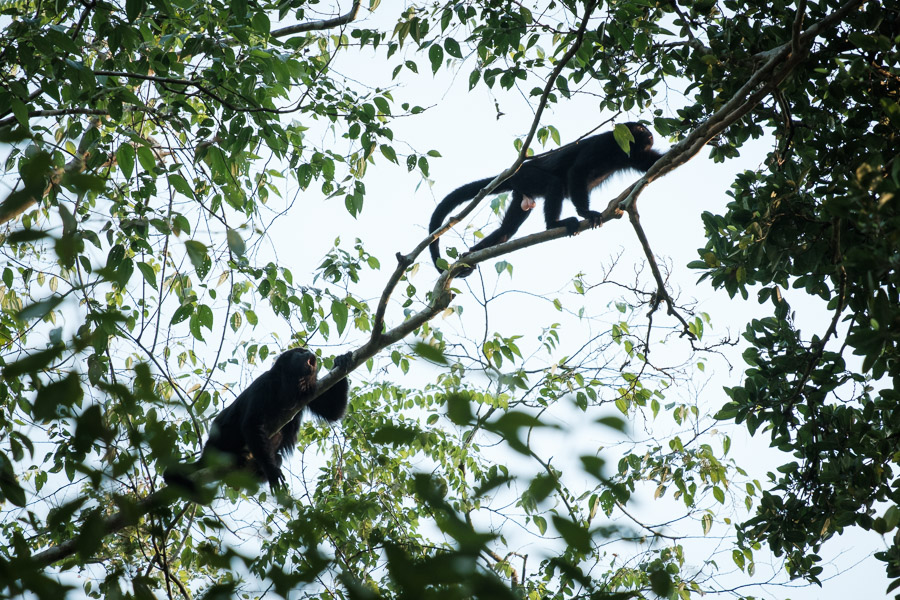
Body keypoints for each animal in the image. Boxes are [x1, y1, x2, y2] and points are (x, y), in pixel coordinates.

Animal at [164, 348, 351, 490]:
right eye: (300, 352)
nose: (309, 352)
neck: (290, 384)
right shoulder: (264, 385)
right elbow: (251, 424)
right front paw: (272, 471)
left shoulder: (310, 390)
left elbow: (333, 412)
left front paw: (341, 360)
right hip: (219, 442)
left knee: (278, 457)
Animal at [428, 122, 664, 277]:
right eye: (642, 129)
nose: (651, 134)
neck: (618, 148)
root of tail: (517, 171)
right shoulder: (601, 145)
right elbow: (577, 171)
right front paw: (586, 213)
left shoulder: (632, 154)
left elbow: (652, 163)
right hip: (529, 176)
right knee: (554, 184)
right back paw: (555, 224)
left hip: (522, 192)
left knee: (506, 231)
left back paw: (470, 254)